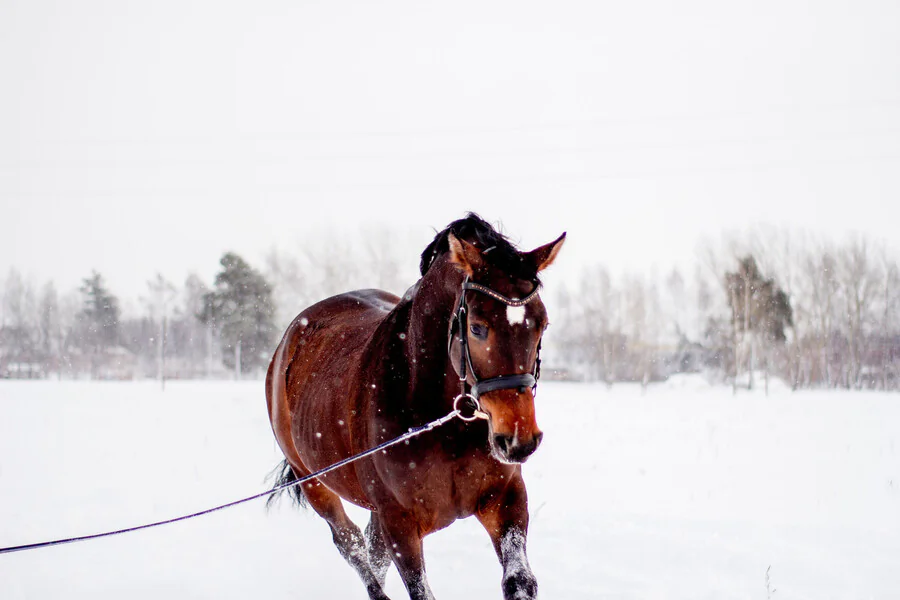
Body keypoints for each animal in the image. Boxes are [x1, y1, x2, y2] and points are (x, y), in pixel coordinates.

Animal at [264, 216, 568, 600]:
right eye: (477, 328)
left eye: (541, 323)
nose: (519, 440)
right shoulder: (399, 523)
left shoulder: (506, 499)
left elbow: (519, 582)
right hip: (313, 482)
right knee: (352, 545)